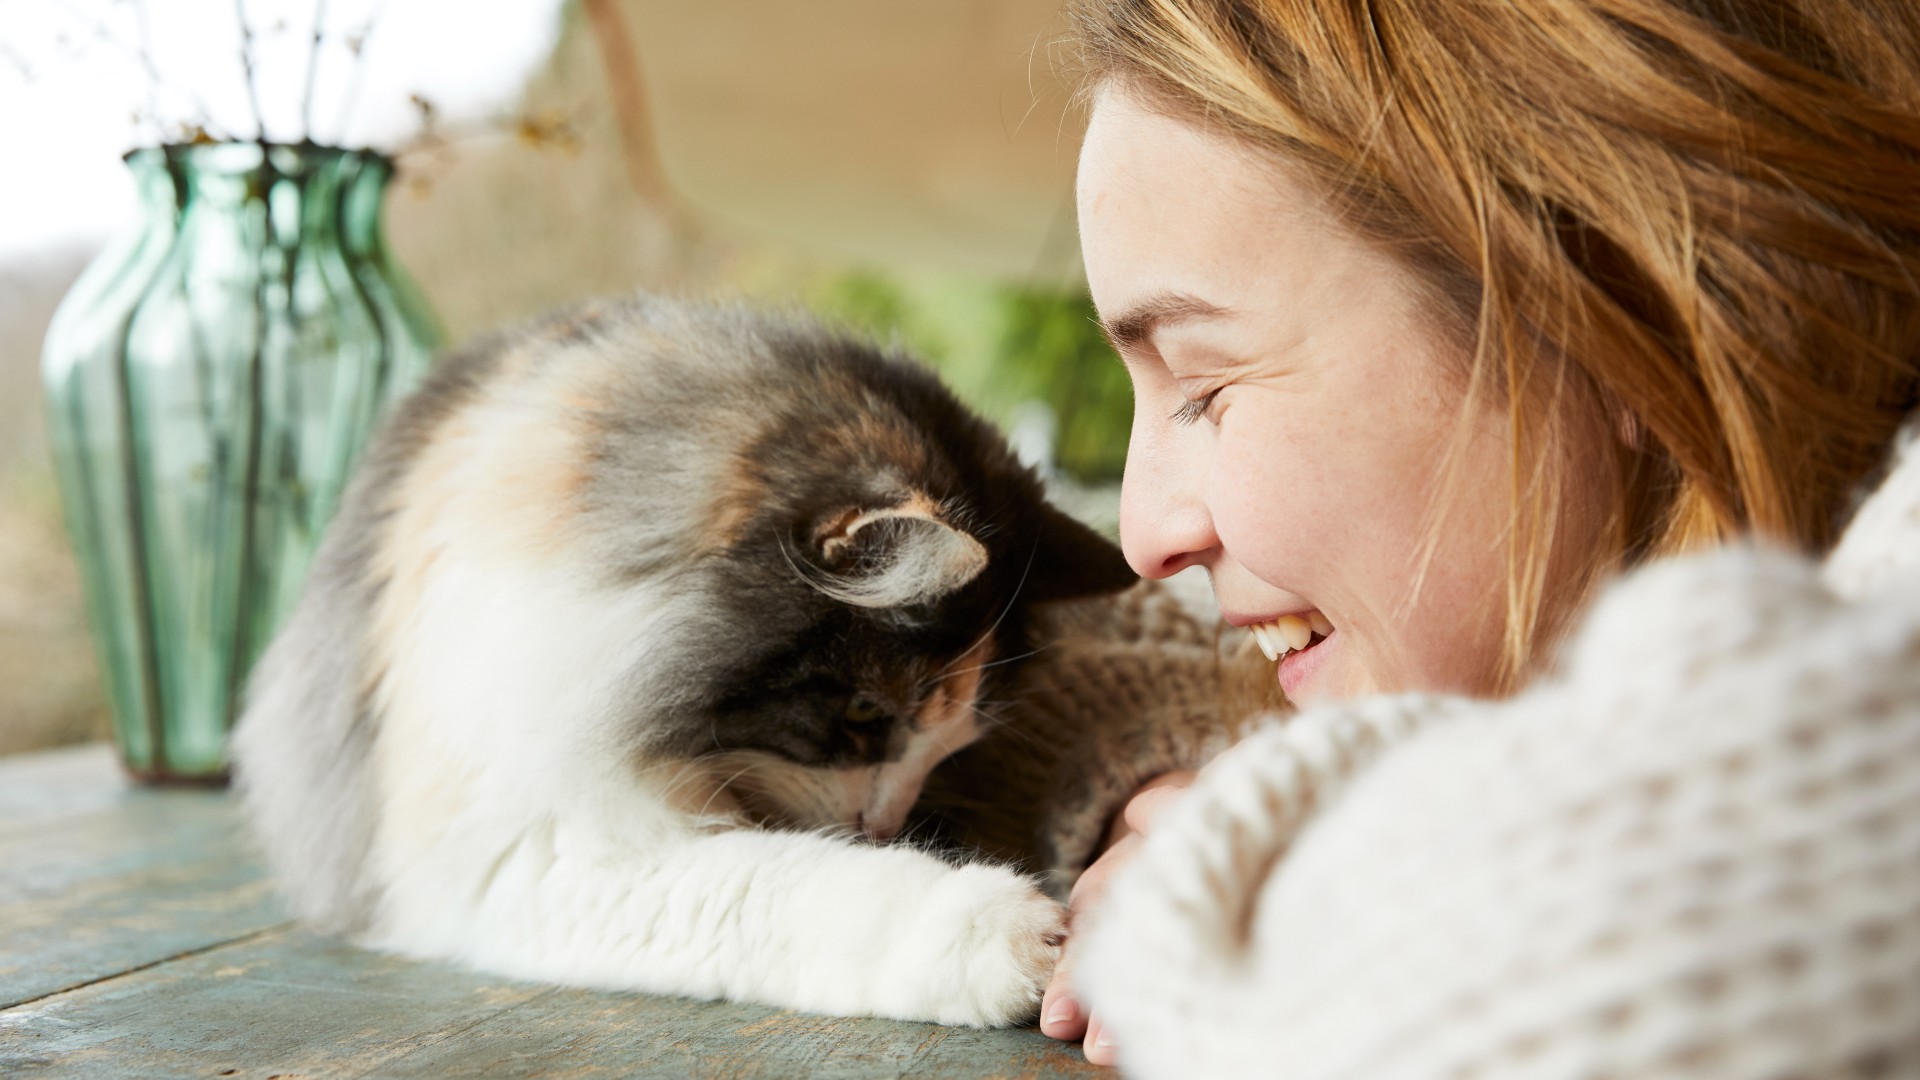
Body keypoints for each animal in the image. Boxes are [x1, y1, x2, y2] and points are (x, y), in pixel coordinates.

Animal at [234, 294, 1152, 1022]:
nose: (885, 827)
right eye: (865, 712)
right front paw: (1006, 933)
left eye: (950, 747)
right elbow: (783, 886)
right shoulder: (528, 847)